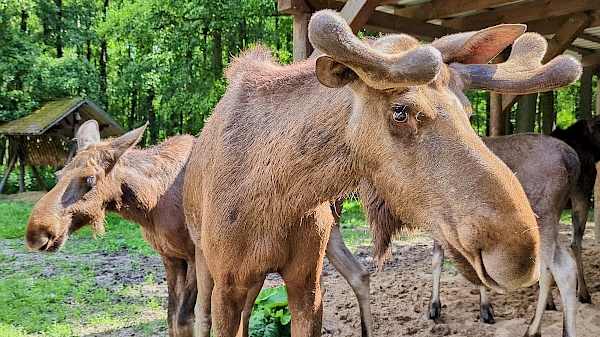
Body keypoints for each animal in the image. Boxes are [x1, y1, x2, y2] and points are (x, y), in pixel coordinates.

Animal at [24, 121, 198, 336]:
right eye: (59, 175)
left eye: (90, 178)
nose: (36, 234)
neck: (151, 204)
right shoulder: (170, 256)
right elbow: (172, 318)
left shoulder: (195, 255)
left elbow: (184, 319)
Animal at [183, 9, 580, 334]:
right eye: (400, 111)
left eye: (468, 110)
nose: (520, 255)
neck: (279, 198)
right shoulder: (228, 284)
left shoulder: (307, 282)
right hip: (204, 260)